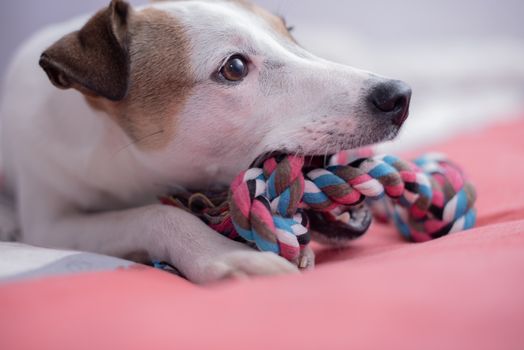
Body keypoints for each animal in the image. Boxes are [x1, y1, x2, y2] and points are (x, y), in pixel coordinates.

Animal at [0, 0, 410, 284]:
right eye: (235, 67)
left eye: (288, 30)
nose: (399, 96)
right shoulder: (48, 225)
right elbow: (157, 214)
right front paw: (223, 253)